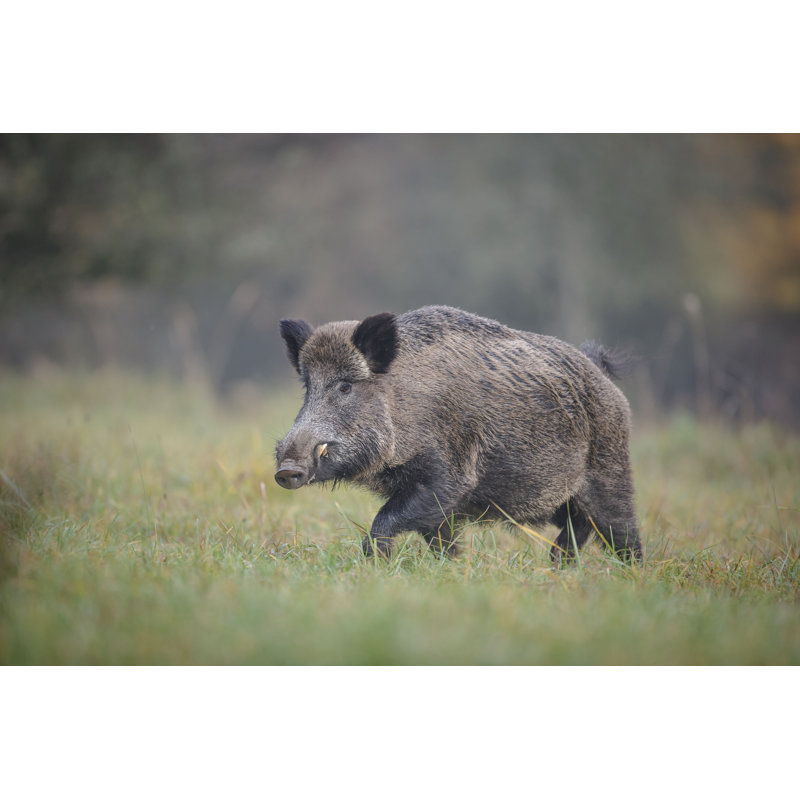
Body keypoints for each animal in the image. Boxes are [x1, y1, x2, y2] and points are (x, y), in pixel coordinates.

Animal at [275, 305, 642, 564]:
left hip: (611, 472)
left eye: (345, 386)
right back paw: (557, 567)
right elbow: (441, 540)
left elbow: (386, 520)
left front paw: (375, 563)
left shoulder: (448, 478)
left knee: (622, 531)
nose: (286, 470)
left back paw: (633, 575)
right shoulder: (436, 501)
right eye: (308, 387)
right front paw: (451, 568)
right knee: (578, 528)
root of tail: (602, 375)